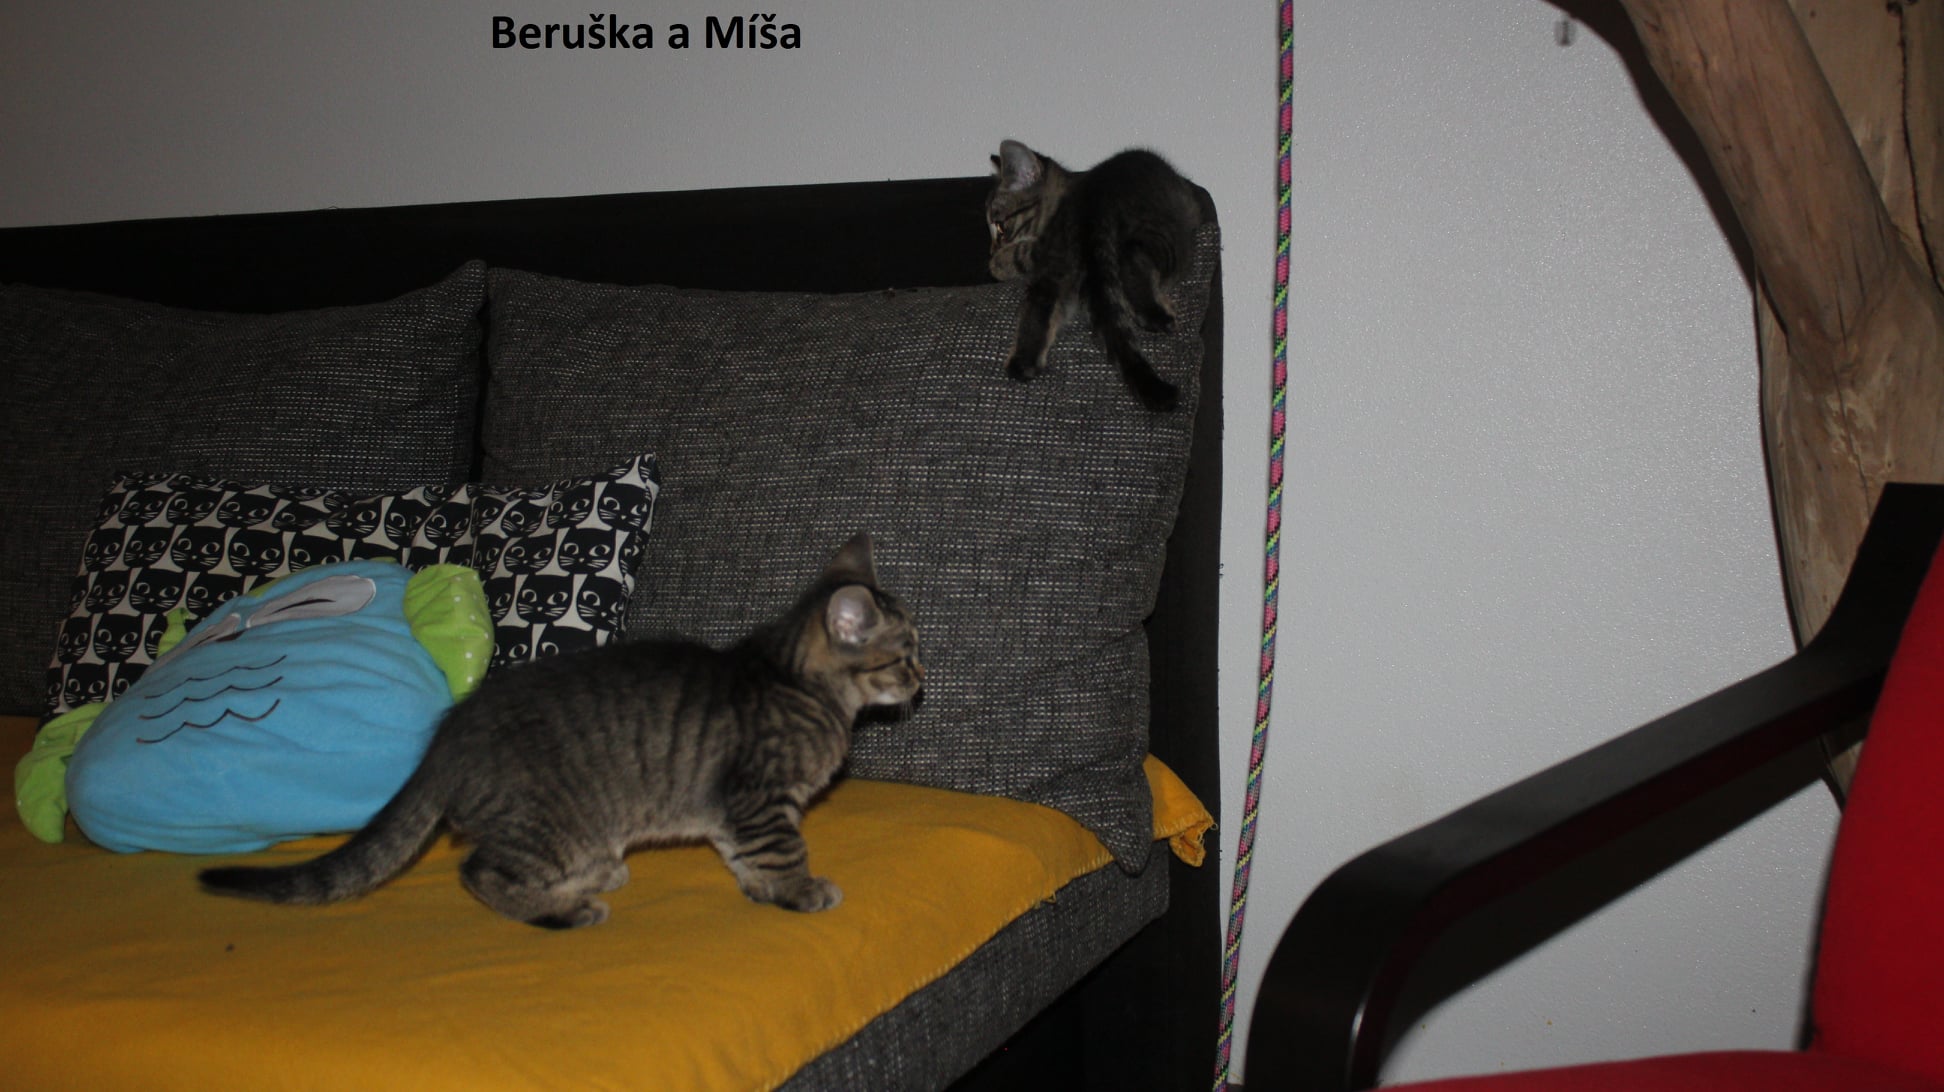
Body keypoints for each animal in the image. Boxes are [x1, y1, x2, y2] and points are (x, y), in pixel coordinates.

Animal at [199, 533, 924, 929]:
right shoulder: (761, 797)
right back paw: (561, 909)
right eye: (906, 653)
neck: (800, 685)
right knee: (479, 872)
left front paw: (764, 891)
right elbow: (781, 852)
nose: (924, 678)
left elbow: (744, 856)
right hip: (548, 821)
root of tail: (447, 738)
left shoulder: (731, 809)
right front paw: (800, 891)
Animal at [986, 139, 1205, 412]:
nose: (990, 252)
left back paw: (1023, 362)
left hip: (1059, 259)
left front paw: (998, 262)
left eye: (1001, 228)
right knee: (1134, 258)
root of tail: (1095, 198)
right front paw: (997, 263)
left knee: (1040, 301)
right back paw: (1157, 315)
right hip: (1169, 238)